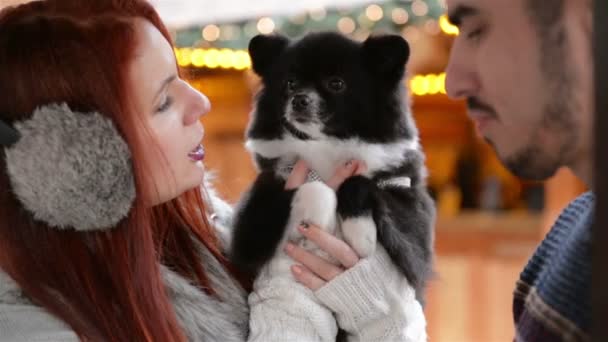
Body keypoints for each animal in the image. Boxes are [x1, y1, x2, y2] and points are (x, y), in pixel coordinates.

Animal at [230, 32, 434, 302]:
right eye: (290, 83)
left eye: (336, 84)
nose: (299, 99)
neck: (327, 143)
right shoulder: (253, 221)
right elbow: (316, 188)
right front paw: (319, 224)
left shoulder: (411, 218)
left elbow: (357, 183)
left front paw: (361, 234)